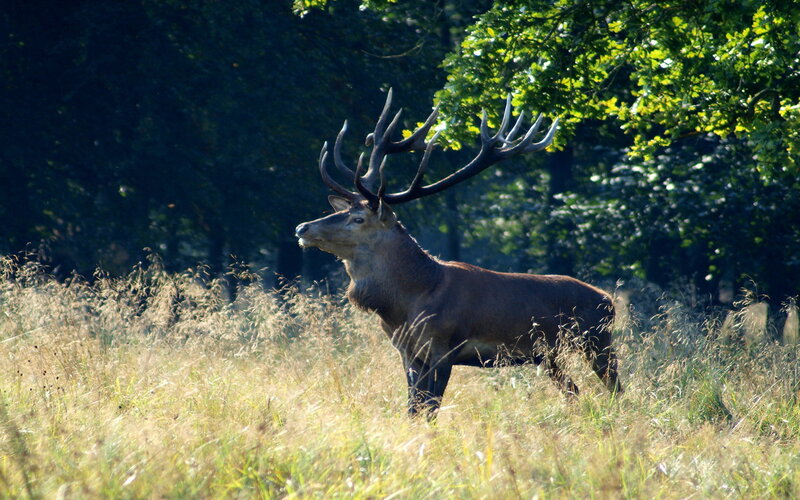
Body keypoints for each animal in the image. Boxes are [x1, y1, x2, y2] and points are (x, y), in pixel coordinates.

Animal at [295, 89, 622, 417]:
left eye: (358, 219)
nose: (302, 227)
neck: (406, 304)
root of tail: (608, 299)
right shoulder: (406, 351)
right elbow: (413, 408)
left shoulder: (444, 346)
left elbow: (431, 408)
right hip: (548, 354)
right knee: (573, 390)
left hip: (597, 340)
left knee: (616, 390)